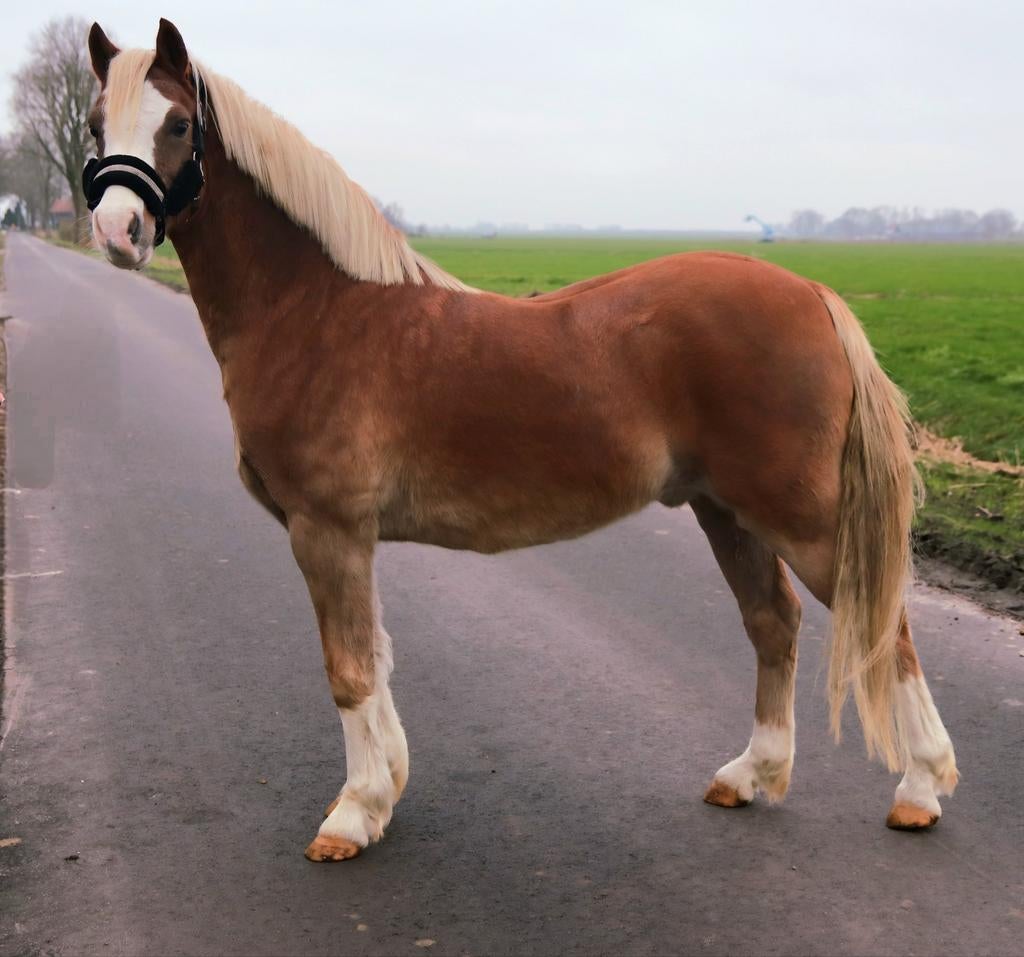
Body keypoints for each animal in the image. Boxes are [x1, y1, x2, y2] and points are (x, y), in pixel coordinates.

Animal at [83, 19, 958, 862]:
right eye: (94, 125)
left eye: (177, 123)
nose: (118, 229)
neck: (317, 310)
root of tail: (812, 292)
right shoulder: (348, 537)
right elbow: (377, 658)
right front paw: (385, 787)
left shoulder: (325, 529)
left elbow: (349, 668)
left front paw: (354, 814)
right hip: (724, 510)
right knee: (773, 620)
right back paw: (752, 773)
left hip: (798, 517)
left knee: (881, 625)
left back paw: (919, 788)